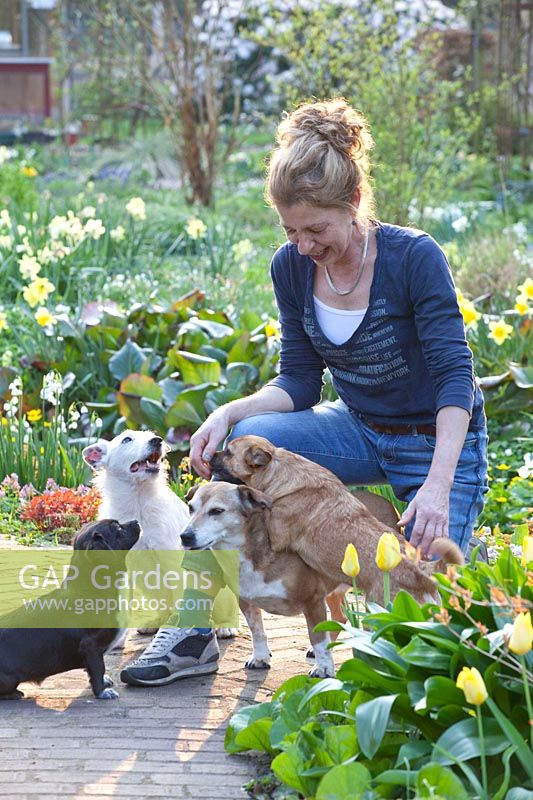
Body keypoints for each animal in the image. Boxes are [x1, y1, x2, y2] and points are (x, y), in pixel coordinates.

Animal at [0, 520, 140, 700]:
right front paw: (102, 691)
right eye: (118, 528)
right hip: (9, 679)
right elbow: (98, 668)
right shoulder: (90, 646)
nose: (136, 521)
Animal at [182, 482, 340, 676]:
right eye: (191, 508)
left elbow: (318, 638)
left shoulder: (313, 601)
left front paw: (323, 667)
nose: (185, 536)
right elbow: (257, 631)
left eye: (217, 511)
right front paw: (260, 657)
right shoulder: (246, 601)